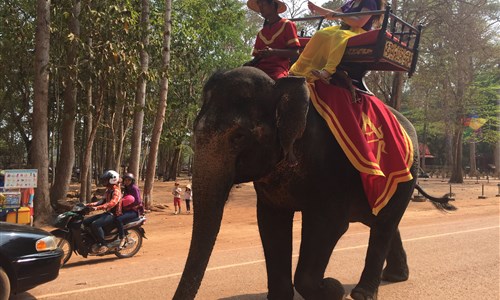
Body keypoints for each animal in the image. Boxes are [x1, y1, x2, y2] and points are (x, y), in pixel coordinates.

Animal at [174, 67, 456, 300]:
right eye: (195, 131)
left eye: (238, 136)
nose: (333, 283)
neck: (283, 85)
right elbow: (271, 223)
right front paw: (283, 297)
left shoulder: (332, 169)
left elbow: (327, 225)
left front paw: (331, 288)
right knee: (382, 221)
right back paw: (395, 277)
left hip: (407, 176)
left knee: (385, 224)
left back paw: (362, 294)